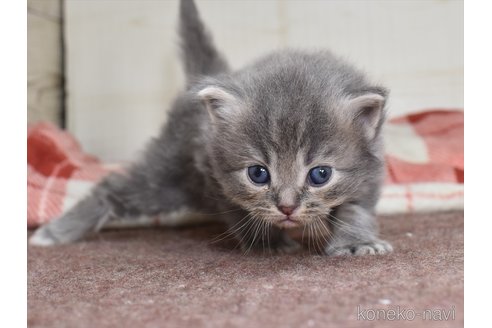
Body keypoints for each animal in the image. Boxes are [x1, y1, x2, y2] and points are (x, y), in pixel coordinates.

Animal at [29, 0, 392, 256]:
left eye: (320, 175)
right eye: (258, 174)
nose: (287, 208)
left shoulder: (369, 171)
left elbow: (356, 207)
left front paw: (355, 242)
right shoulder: (212, 172)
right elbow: (241, 211)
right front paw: (268, 243)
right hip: (170, 178)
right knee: (113, 187)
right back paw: (56, 231)